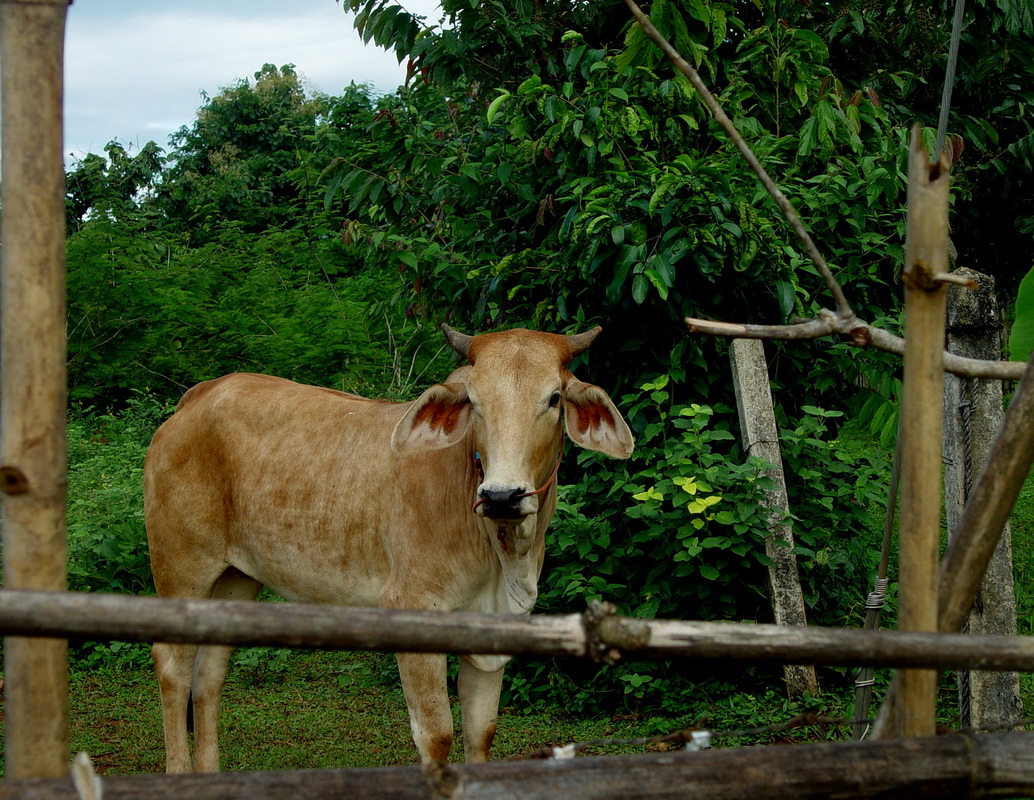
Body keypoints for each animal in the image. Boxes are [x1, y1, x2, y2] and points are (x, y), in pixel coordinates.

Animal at [144, 324, 634, 772]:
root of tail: (202, 394)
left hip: (237, 578)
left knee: (208, 675)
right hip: (181, 567)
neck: (504, 555)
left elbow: (481, 732)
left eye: (553, 399)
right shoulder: (414, 609)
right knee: (173, 668)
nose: (501, 496)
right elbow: (436, 735)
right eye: (474, 402)